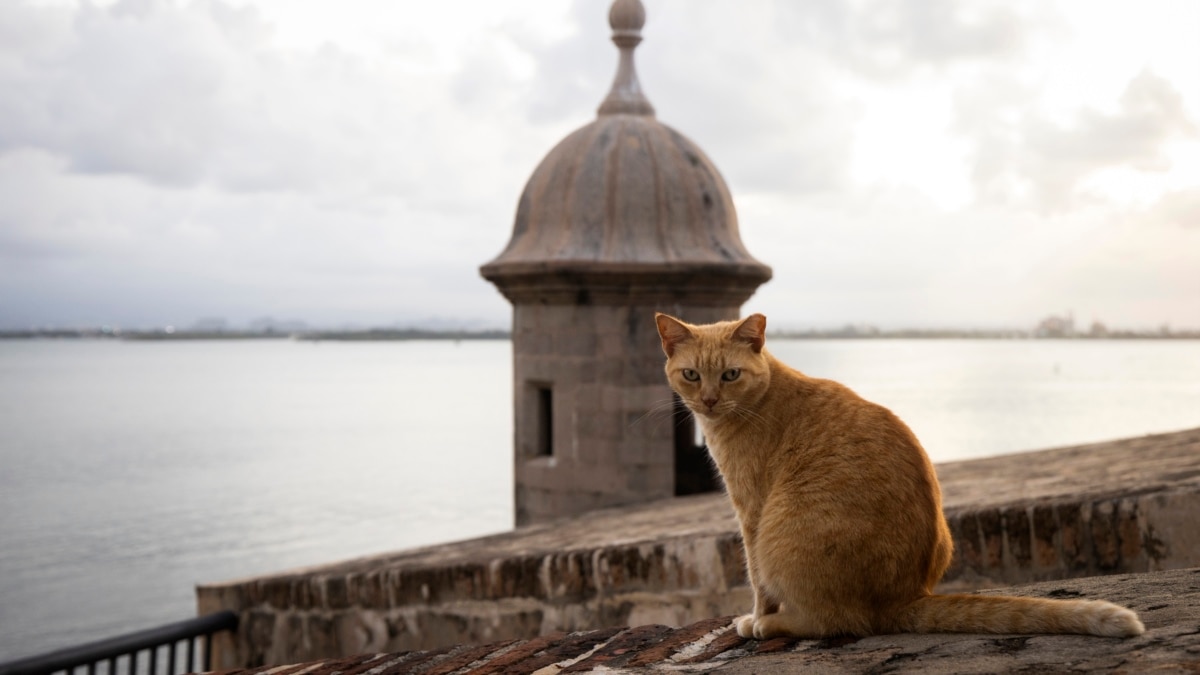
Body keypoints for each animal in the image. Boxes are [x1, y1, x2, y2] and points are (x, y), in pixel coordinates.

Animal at [657, 312, 1142, 638]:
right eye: (691, 374)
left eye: (730, 375)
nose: (709, 400)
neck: (759, 398)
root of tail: (903, 598)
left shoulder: (751, 513)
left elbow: (757, 579)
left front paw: (756, 616)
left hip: (781, 534)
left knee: (835, 621)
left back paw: (770, 625)